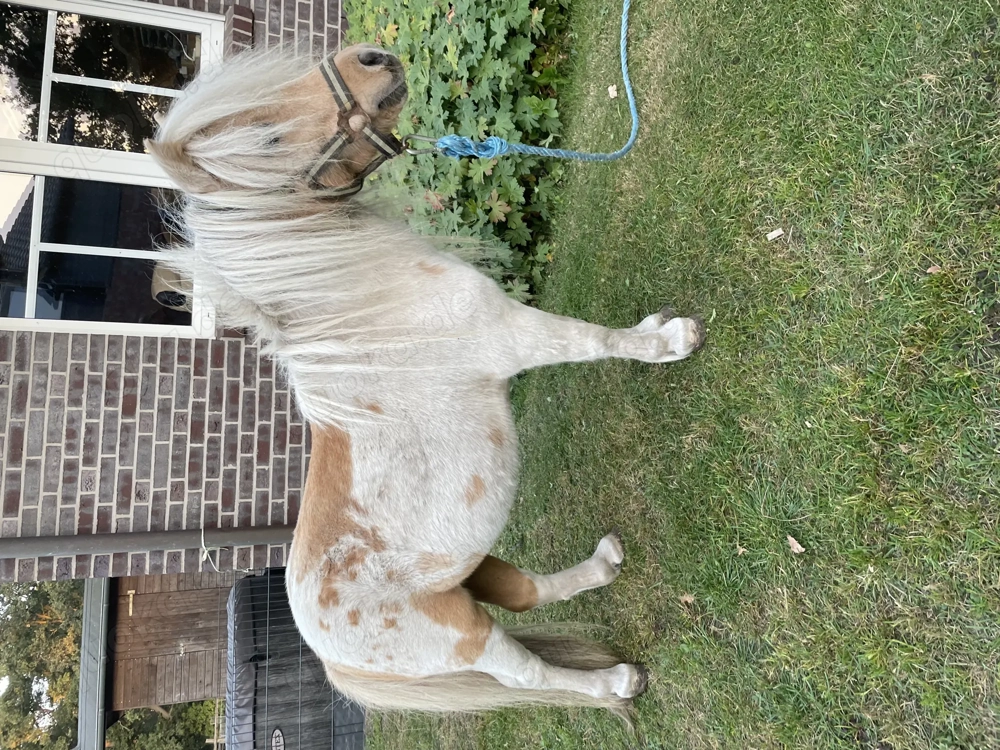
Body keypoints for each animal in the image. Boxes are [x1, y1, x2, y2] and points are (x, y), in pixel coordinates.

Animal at [148, 43, 705, 718]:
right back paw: (616, 682)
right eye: (269, 138)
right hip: (465, 636)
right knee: (526, 674)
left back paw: (605, 566)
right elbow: (594, 341)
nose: (370, 58)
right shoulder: (514, 336)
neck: (370, 309)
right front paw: (670, 341)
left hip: (470, 572)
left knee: (526, 593)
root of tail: (328, 655)